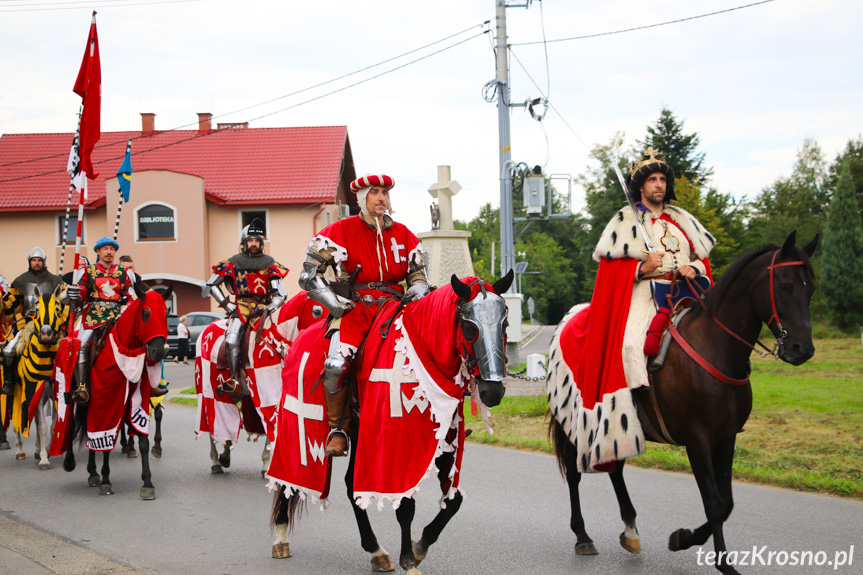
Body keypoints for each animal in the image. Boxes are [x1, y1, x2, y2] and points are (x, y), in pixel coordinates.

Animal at [552, 232, 820, 572]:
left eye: (810, 288)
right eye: (784, 286)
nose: (802, 349)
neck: (715, 348)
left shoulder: (726, 437)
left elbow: (727, 501)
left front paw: (686, 538)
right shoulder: (698, 439)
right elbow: (714, 502)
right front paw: (719, 560)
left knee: (615, 469)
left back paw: (631, 531)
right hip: (577, 420)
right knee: (575, 472)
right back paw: (583, 536)